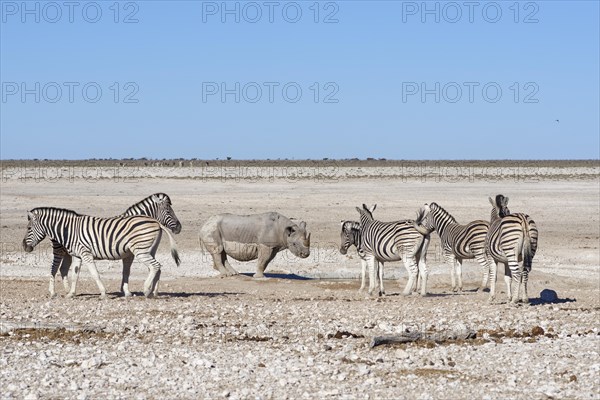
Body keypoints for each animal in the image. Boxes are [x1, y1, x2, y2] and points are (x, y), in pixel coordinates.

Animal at [22, 208, 180, 298]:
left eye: (29, 228)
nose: (24, 246)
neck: (69, 230)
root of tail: (156, 222)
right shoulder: (78, 255)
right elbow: (75, 275)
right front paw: (71, 293)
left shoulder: (85, 253)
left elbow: (95, 274)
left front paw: (103, 293)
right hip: (150, 250)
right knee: (158, 268)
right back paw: (154, 292)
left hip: (141, 251)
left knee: (155, 266)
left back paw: (147, 290)